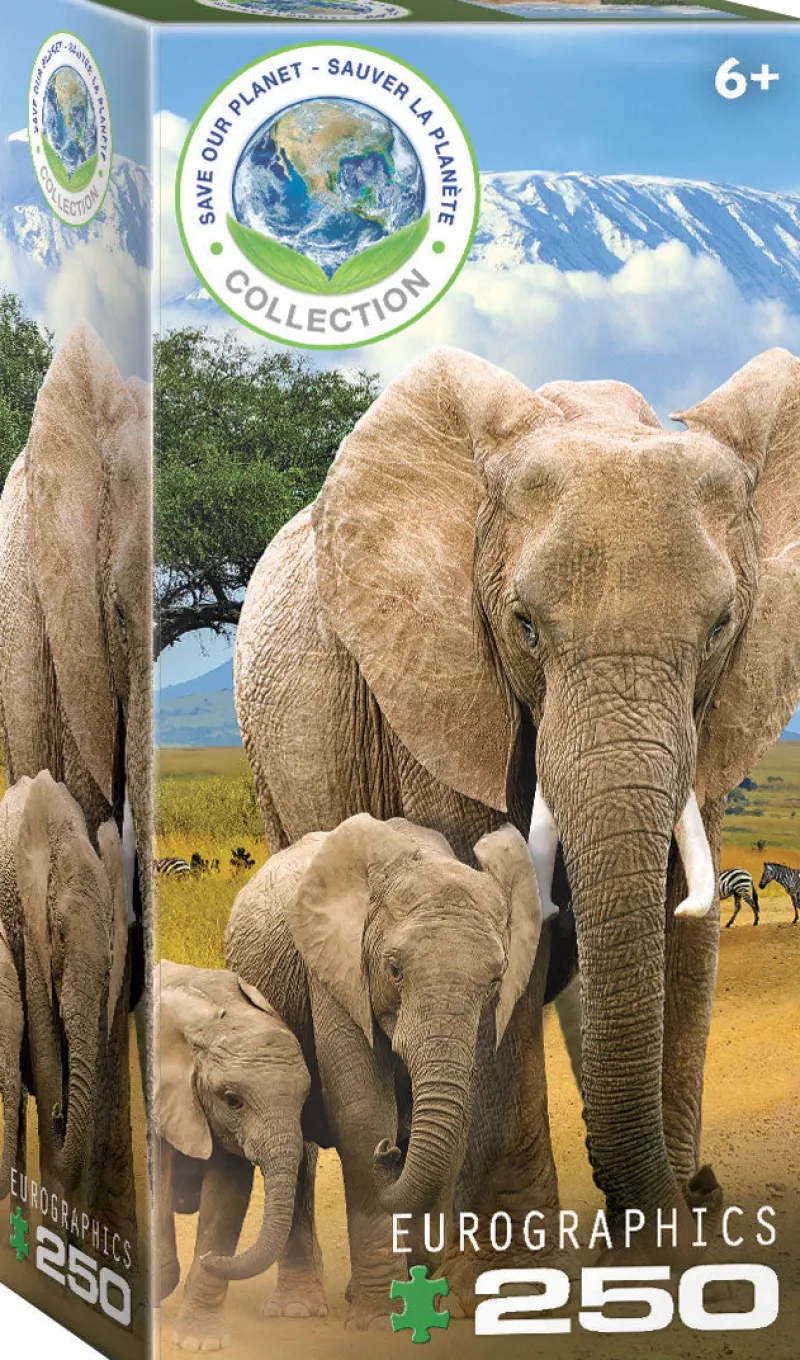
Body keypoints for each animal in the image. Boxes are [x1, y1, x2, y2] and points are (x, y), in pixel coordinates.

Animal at [203, 814, 542, 1331]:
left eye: (495, 980)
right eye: (395, 969)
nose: (392, 1150)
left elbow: (458, 1122)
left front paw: (428, 1306)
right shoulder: (335, 970)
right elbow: (362, 1114)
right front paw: (381, 1320)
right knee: (298, 1149)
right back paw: (299, 1309)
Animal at [235, 345, 800, 1287]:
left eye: (722, 624)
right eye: (525, 626)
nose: (703, 1187)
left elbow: (684, 934)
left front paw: (667, 1266)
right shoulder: (442, 686)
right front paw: (512, 1262)